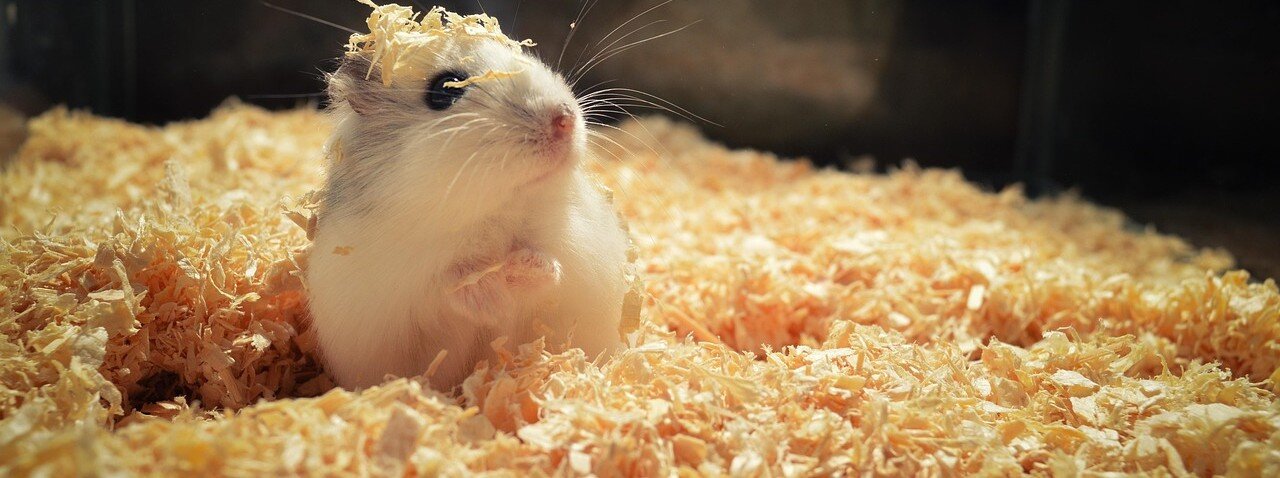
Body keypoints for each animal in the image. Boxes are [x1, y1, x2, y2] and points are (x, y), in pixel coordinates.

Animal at [306, 6, 629, 391]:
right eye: (444, 90)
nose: (564, 119)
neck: (493, 212)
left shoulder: (577, 247)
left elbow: (549, 264)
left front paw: (520, 270)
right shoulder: (401, 279)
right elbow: (448, 283)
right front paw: (492, 296)